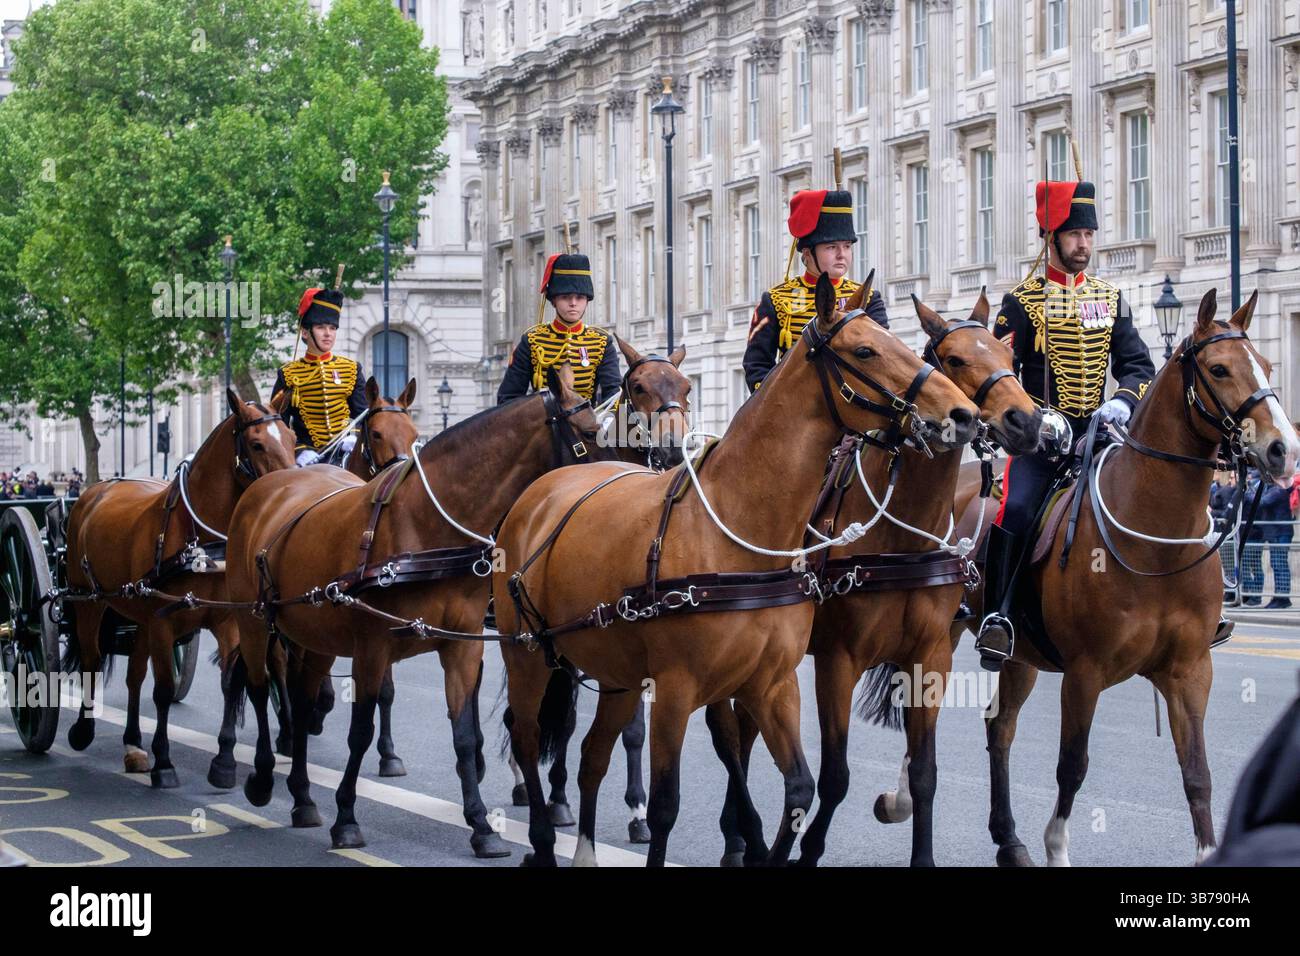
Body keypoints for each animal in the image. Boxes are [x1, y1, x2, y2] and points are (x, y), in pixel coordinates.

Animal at [62, 389, 296, 786]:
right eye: (256, 444)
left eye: (294, 439)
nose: (293, 490)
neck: (200, 539)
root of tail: (100, 487)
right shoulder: (162, 622)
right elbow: (163, 690)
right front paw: (165, 761)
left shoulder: (226, 622)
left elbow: (230, 683)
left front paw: (224, 760)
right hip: (89, 602)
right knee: (92, 660)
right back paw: (83, 729)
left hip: (138, 614)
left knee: (134, 676)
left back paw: (133, 744)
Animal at [222, 364, 614, 858]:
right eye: (589, 432)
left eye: (412, 433)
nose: (623, 479)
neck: (427, 526)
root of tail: (270, 484)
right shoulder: (372, 647)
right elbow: (361, 730)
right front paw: (346, 817)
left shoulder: (462, 646)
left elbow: (463, 734)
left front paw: (481, 826)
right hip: (254, 621)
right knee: (259, 688)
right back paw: (260, 776)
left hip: (317, 636)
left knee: (301, 693)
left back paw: (303, 795)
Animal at [492, 274, 979, 866]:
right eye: (865, 350)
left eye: (907, 344)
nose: (964, 415)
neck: (737, 523)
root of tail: (541, 490)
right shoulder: (682, 688)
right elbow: (670, 803)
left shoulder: (773, 684)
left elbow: (800, 786)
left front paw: (764, 846)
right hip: (527, 657)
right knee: (528, 735)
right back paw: (542, 838)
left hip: (616, 673)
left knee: (591, 754)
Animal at [708, 289, 1043, 866]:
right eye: (954, 358)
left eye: (1008, 354)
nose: (1024, 420)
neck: (901, 536)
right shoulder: (837, 660)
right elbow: (835, 776)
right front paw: (809, 850)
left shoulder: (931, 656)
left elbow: (926, 773)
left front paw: (921, 855)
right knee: (733, 732)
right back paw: (738, 838)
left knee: (744, 730)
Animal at [939, 288, 1299, 866]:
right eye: (1219, 369)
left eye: (1266, 366)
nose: (1282, 450)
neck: (1155, 539)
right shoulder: (1085, 673)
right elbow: (1072, 766)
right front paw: (1057, 848)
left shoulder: (1190, 672)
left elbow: (1197, 775)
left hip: (1019, 656)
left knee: (1001, 727)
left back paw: (1008, 839)